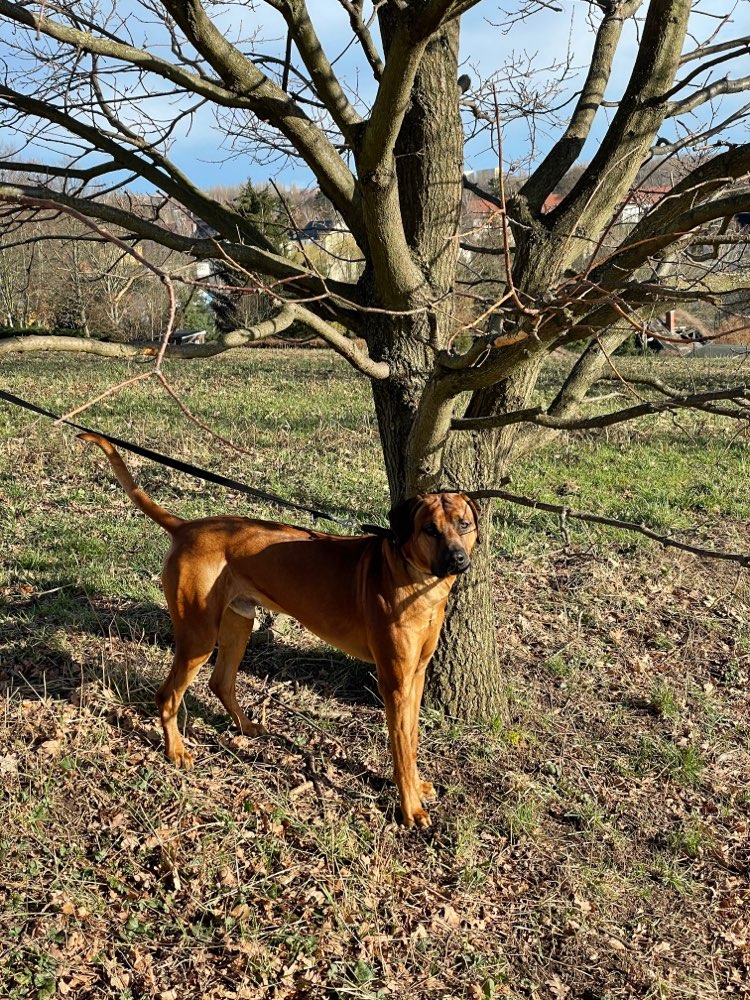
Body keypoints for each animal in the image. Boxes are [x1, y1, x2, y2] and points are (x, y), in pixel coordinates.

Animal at [81, 432, 482, 828]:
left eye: (463, 524)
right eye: (430, 529)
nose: (458, 559)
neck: (414, 577)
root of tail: (187, 526)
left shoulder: (416, 674)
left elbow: (410, 739)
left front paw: (417, 785)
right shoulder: (394, 681)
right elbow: (399, 745)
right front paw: (409, 807)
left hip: (238, 622)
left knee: (220, 682)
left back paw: (246, 726)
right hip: (199, 634)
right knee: (168, 694)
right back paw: (176, 750)